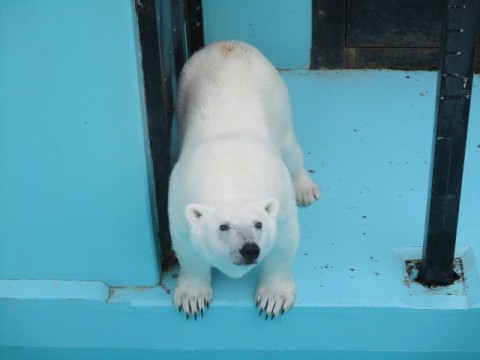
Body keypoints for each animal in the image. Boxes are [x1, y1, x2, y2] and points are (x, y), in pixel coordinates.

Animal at [169, 40, 318, 320]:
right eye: (223, 226)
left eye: (258, 223)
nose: (249, 249)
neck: (229, 178)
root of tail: (230, 45)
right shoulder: (179, 202)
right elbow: (188, 251)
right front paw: (193, 298)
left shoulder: (280, 197)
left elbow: (284, 241)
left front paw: (273, 299)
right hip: (183, 91)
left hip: (278, 101)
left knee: (291, 150)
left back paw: (305, 188)